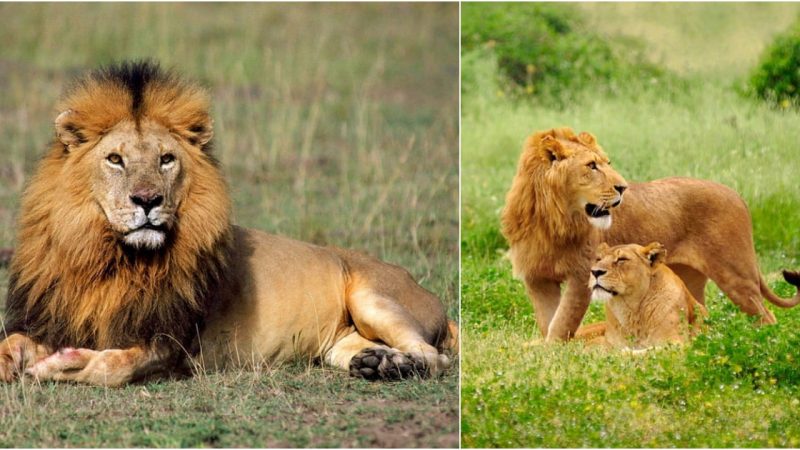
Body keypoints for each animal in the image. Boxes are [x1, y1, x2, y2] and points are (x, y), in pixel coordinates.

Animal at [0, 60, 456, 386]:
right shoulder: (50, 316)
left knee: (436, 356)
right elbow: (10, 343)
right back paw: (376, 362)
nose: (148, 200)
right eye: (115, 159)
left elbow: (113, 367)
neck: (111, 259)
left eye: (167, 159)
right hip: (339, 342)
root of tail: (425, 290)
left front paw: (64, 365)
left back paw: (398, 366)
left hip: (374, 297)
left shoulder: (172, 346)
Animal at [576, 241, 708, 350]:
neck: (630, 310)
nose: (595, 272)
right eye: (598, 259)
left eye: (621, 259)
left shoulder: (675, 343)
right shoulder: (608, 342)